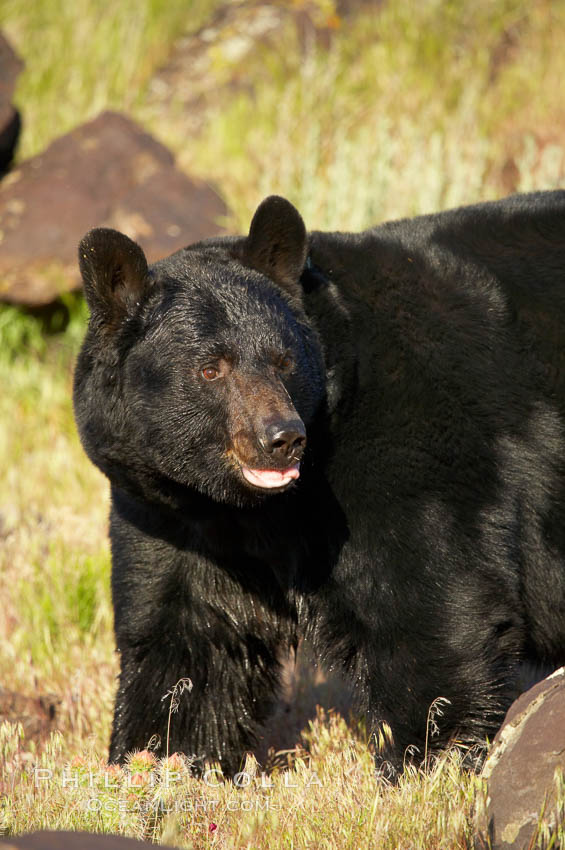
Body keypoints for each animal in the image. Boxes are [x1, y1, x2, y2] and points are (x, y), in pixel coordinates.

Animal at [72, 192, 564, 776]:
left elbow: (428, 604)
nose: (282, 438)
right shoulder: (167, 511)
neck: (248, 508)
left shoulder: (409, 452)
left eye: (283, 360)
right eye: (212, 368)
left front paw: (425, 763)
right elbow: (184, 647)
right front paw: (156, 762)